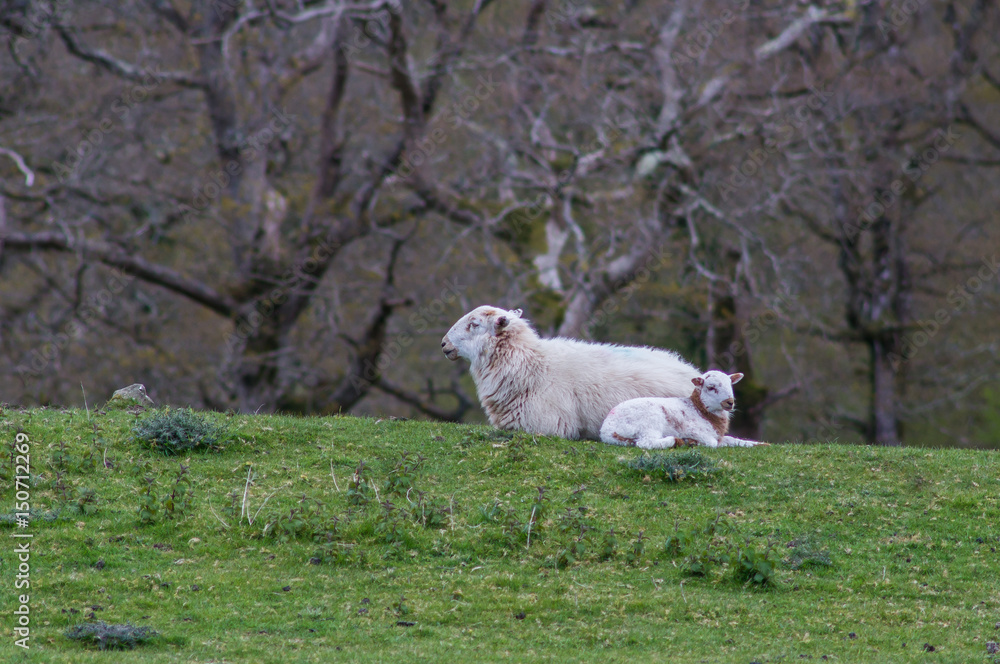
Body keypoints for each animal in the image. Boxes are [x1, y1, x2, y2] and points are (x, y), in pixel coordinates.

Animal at [599, 370, 766, 449]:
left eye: (730, 385)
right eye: (711, 387)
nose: (729, 402)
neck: (700, 411)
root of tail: (607, 429)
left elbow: (732, 440)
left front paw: (761, 444)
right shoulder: (695, 430)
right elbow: (712, 443)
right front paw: (691, 441)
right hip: (649, 421)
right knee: (645, 443)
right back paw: (676, 441)